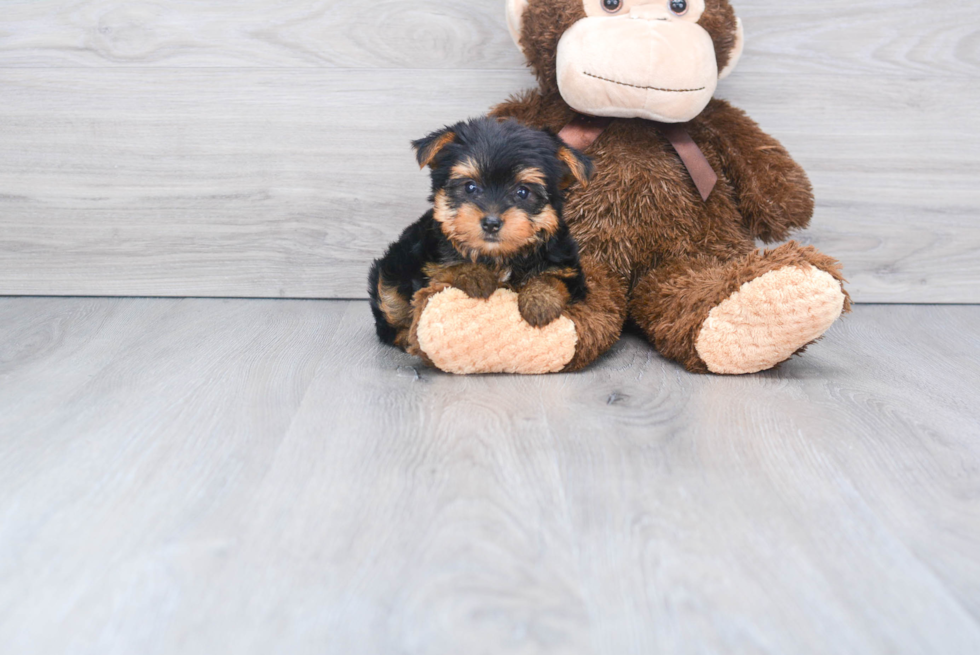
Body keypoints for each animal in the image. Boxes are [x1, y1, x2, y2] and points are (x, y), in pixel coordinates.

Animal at [370, 118, 592, 354]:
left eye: (523, 192)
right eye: (470, 187)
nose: (491, 223)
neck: (498, 256)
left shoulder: (568, 269)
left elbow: (553, 277)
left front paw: (540, 301)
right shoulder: (432, 264)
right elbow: (449, 270)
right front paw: (475, 275)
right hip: (392, 269)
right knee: (389, 306)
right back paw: (406, 338)